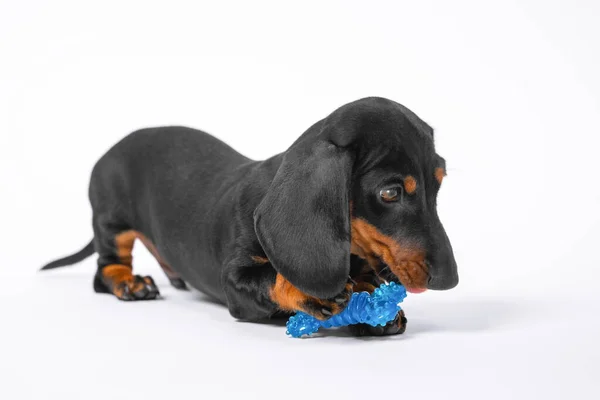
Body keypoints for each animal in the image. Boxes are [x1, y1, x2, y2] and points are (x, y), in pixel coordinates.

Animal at [39, 96, 458, 334]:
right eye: (390, 192)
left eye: (440, 182)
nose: (450, 280)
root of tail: (111, 148)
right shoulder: (235, 284)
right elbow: (271, 279)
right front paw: (308, 291)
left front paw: (376, 300)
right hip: (112, 222)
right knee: (105, 269)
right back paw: (130, 283)